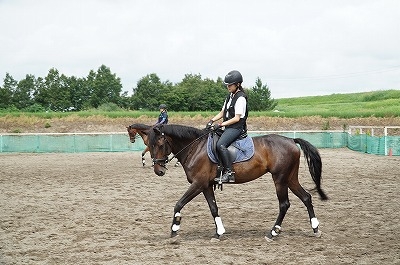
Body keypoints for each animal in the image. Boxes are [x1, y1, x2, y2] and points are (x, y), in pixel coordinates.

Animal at [148, 122, 328, 240]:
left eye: (160, 144)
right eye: (149, 145)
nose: (158, 171)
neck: (196, 148)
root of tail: (291, 140)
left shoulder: (198, 184)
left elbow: (179, 203)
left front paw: (174, 228)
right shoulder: (206, 185)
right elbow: (213, 208)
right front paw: (219, 232)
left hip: (280, 179)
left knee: (284, 204)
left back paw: (273, 232)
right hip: (290, 178)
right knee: (306, 197)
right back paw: (315, 228)